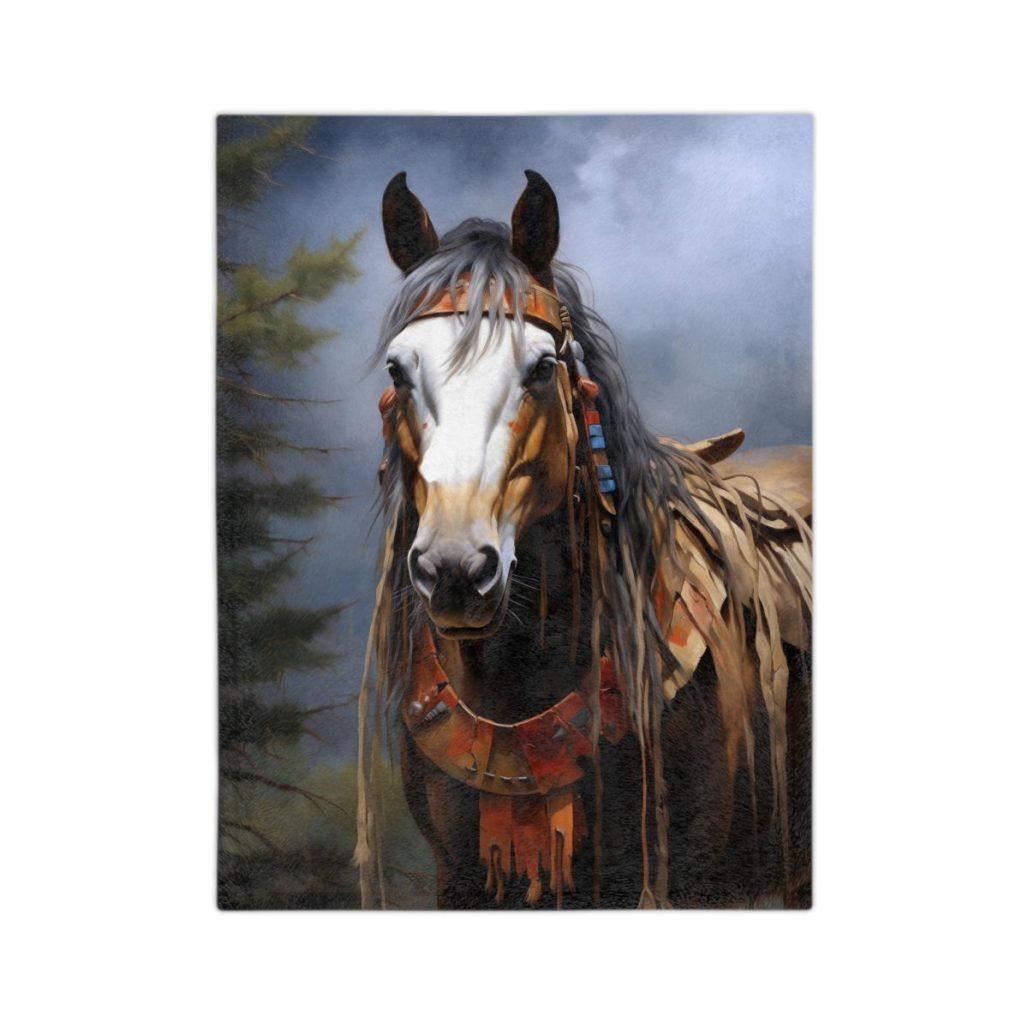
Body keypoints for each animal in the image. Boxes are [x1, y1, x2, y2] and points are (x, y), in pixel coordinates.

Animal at [353, 170, 812, 910]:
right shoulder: (458, 878)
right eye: (398, 370)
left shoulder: (697, 880)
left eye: (542, 367)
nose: (455, 571)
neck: (517, 679)